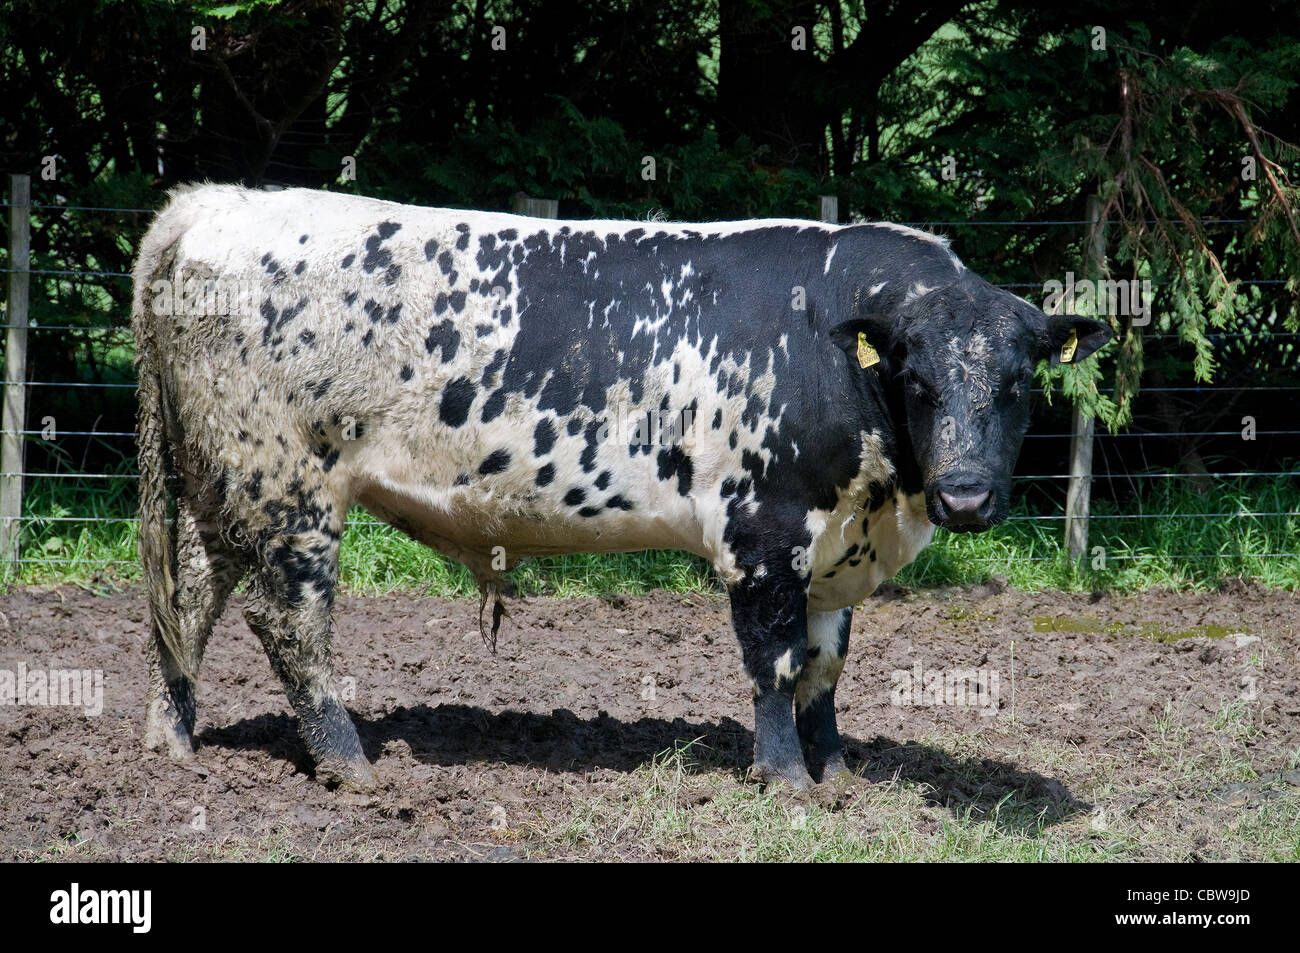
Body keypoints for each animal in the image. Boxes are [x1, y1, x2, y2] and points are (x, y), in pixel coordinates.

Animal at [131, 185, 1107, 790]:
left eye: (1018, 382)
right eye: (917, 379)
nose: (968, 497)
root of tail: (213, 205)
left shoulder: (833, 549)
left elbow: (824, 669)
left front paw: (837, 773)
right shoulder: (762, 531)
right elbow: (776, 661)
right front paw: (786, 778)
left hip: (222, 484)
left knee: (188, 601)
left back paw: (170, 740)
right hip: (288, 486)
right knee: (288, 621)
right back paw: (349, 761)